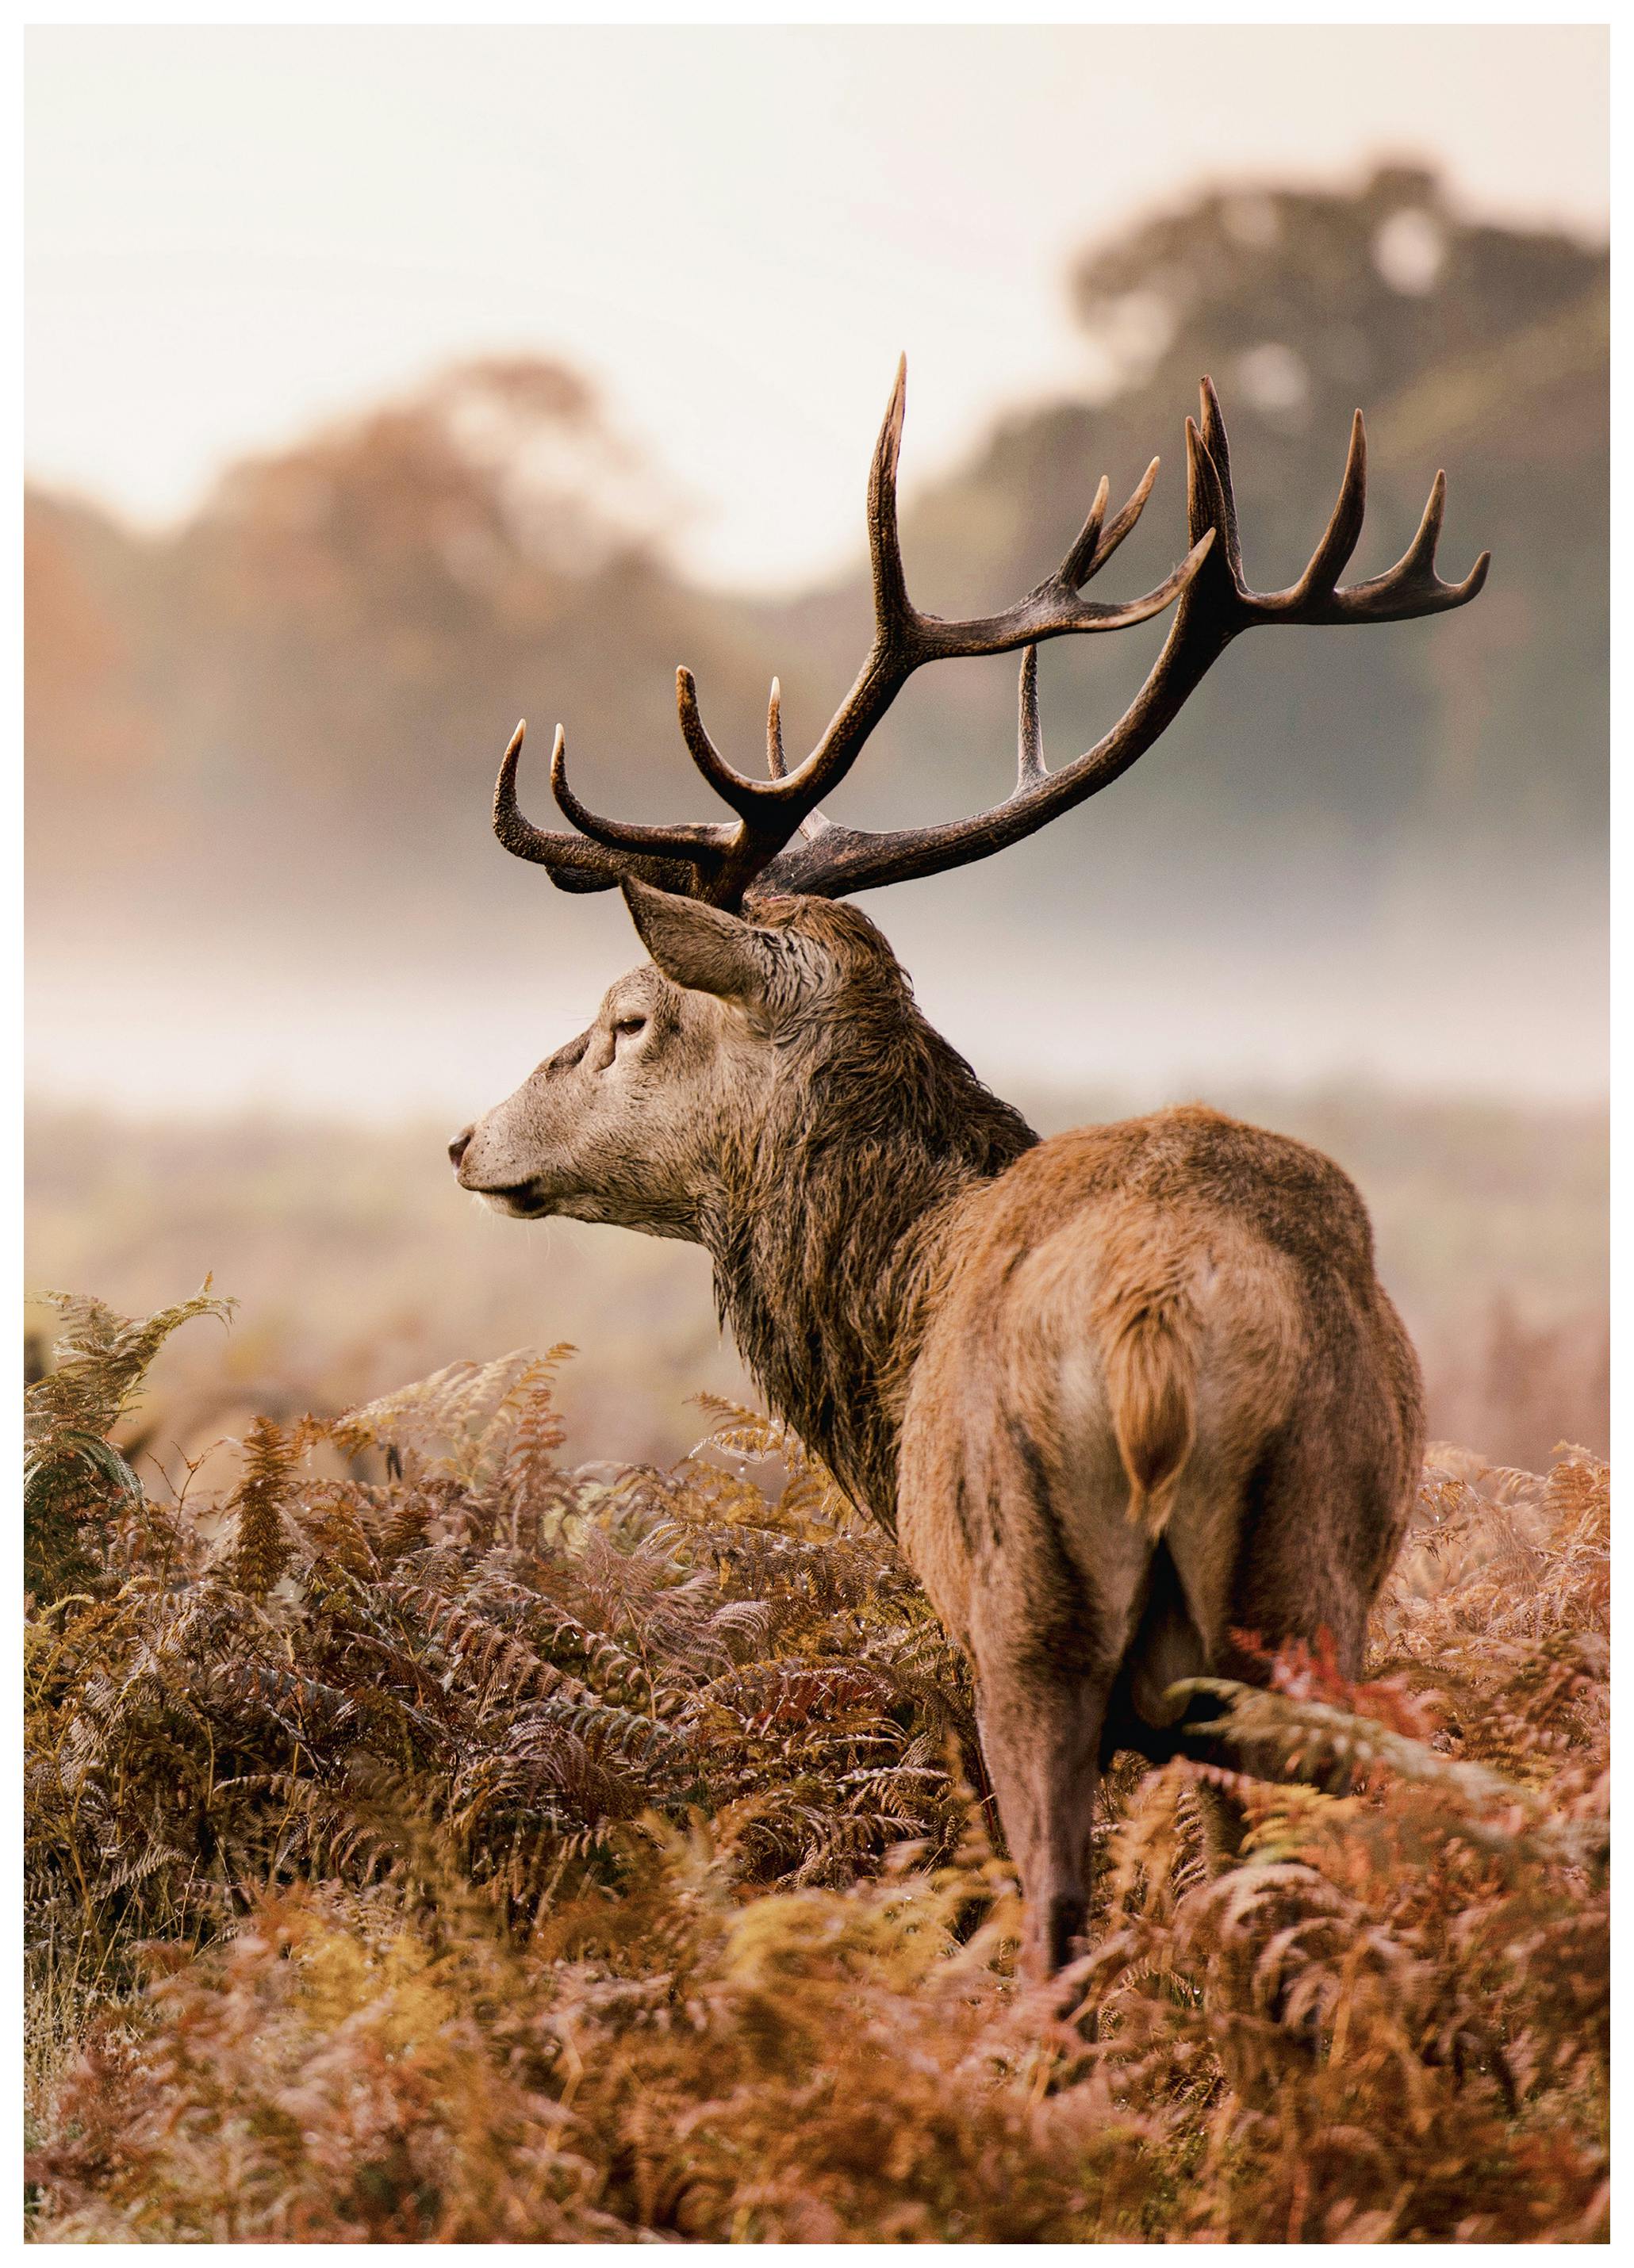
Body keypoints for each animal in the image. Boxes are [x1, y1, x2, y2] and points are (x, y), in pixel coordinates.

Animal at [450, 365, 1487, 1975]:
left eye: (629, 1017)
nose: (467, 1139)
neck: (895, 1305)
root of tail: (1153, 1339)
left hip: (1029, 1619)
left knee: (1053, 1916)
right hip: (1310, 1589)